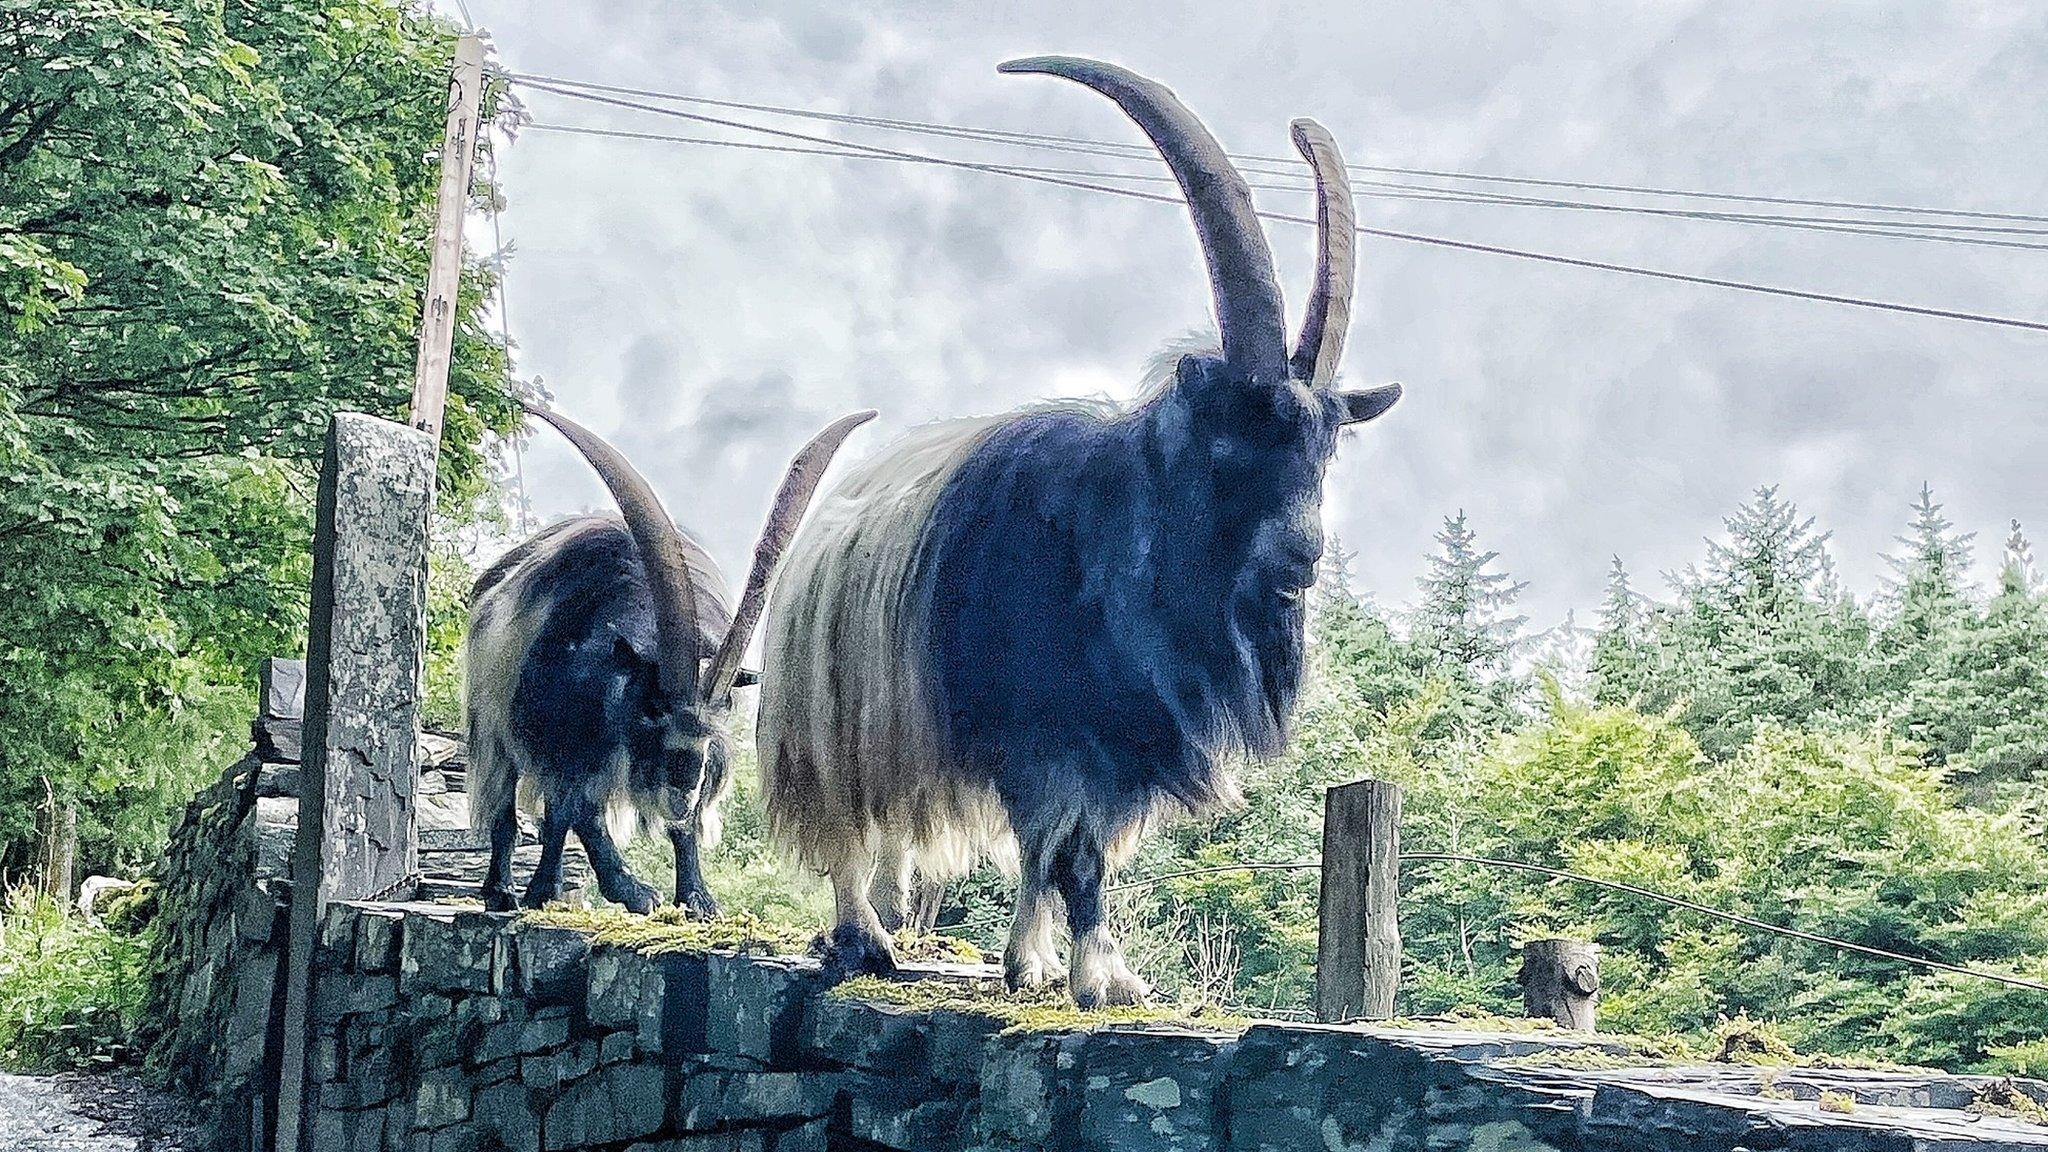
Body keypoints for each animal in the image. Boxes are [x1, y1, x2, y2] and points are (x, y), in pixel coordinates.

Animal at [468, 403, 876, 914]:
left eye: (722, 710)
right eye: (651, 707)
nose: (682, 785)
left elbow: (674, 826)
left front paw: (699, 899)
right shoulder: (564, 742)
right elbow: (580, 810)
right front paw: (634, 891)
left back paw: (543, 889)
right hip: (493, 724)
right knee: (511, 807)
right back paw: (504, 891)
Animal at [761, 58, 1400, 1000]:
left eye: (1324, 450)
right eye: (1229, 440)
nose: (1303, 557)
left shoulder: (1114, 744)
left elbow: (1067, 849)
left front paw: (1051, 966)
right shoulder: (1041, 733)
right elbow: (1073, 856)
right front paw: (1098, 976)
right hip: (829, 728)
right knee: (850, 832)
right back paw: (860, 939)